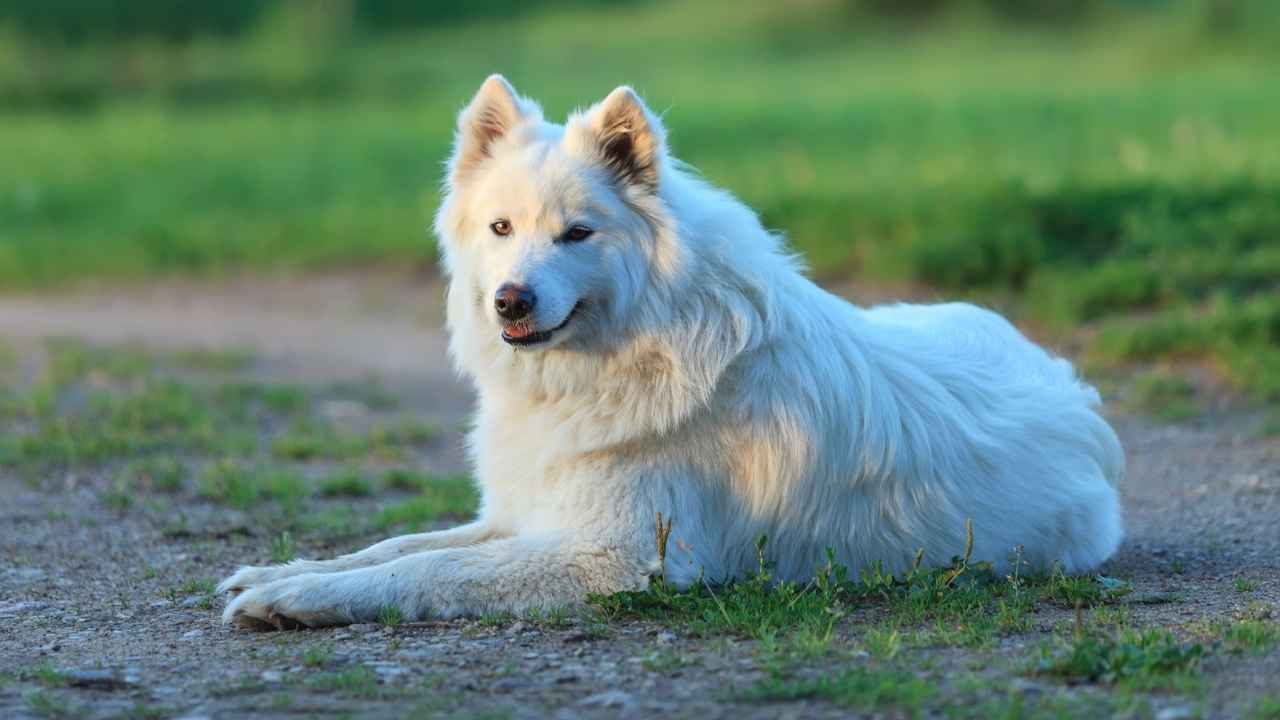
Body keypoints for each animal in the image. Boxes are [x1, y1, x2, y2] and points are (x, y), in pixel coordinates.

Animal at [220, 74, 1121, 627]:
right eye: (501, 227)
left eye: (577, 234)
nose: (511, 299)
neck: (623, 356)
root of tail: (1075, 392)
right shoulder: (520, 514)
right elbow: (401, 545)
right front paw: (282, 572)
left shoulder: (609, 559)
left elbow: (425, 573)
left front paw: (296, 597)